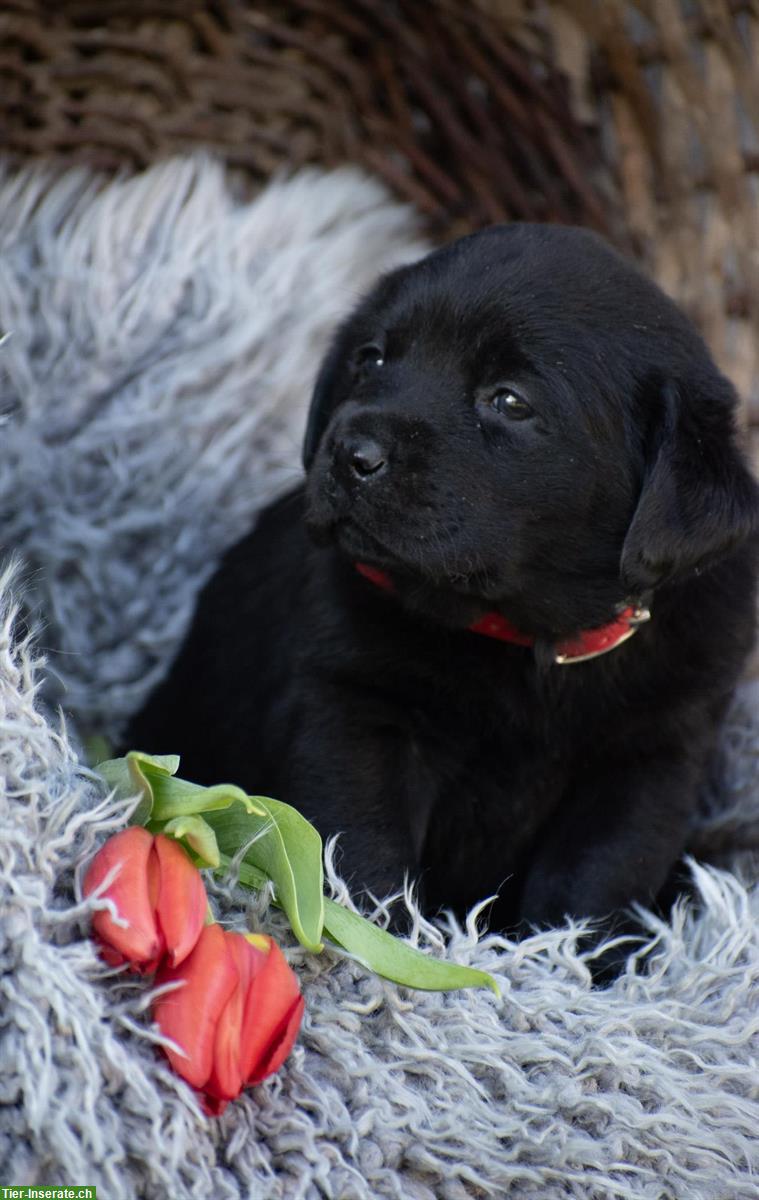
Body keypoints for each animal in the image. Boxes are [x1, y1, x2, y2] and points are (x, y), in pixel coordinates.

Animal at [127, 220, 754, 940]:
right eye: (370, 359)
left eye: (508, 401)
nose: (351, 453)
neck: (529, 642)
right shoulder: (356, 712)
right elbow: (363, 853)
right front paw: (377, 949)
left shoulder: (650, 760)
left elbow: (597, 883)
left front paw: (569, 959)